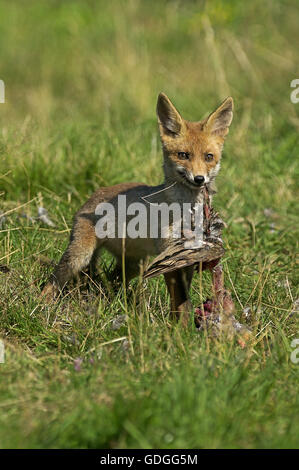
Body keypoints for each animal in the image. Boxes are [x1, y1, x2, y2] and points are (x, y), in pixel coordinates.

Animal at [42, 93, 234, 324]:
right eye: (183, 155)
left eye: (208, 157)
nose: (199, 179)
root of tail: (95, 194)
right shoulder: (168, 255)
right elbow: (181, 301)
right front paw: (180, 328)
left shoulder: (187, 256)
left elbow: (183, 299)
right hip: (79, 256)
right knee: (55, 280)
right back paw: (41, 304)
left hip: (133, 265)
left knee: (111, 281)